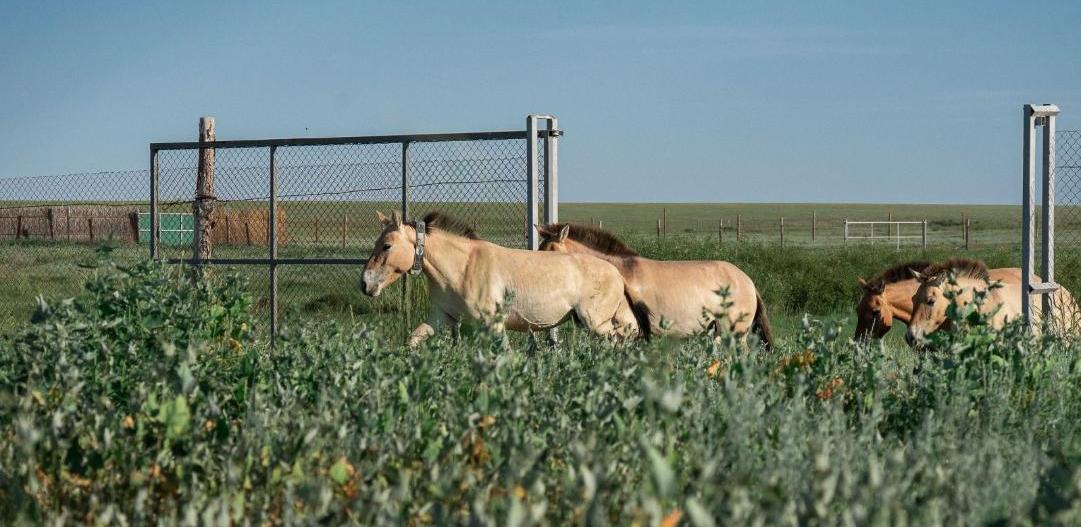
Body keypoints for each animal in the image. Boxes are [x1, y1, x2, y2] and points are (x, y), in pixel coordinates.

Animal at [361, 211, 650, 348]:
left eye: (386, 246)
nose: (364, 284)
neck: (463, 267)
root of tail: (616, 273)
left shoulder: (494, 324)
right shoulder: (443, 318)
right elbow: (412, 340)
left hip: (595, 323)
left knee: (619, 340)